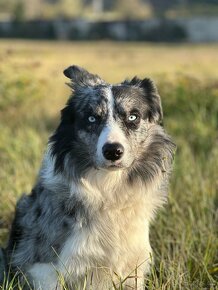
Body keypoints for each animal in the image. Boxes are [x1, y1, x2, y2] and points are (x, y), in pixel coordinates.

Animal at [4, 66, 175, 290]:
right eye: (92, 118)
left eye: (133, 117)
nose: (113, 151)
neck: (109, 187)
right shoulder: (44, 267)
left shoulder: (133, 266)